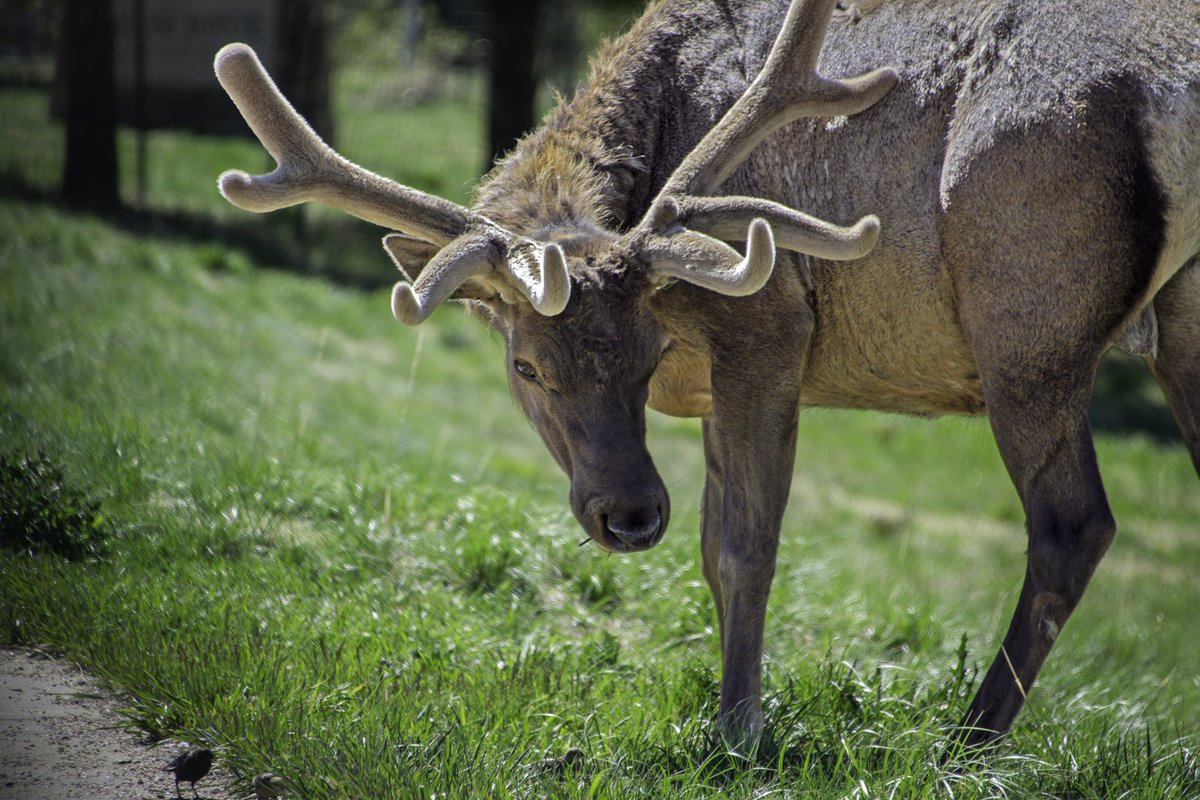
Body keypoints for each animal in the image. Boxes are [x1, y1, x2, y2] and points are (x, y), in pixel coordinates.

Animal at [212, 0, 1200, 753]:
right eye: (526, 366)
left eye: (650, 353)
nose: (628, 513)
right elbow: (708, 553)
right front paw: (731, 710)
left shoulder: (766, 329)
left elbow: (743, 548)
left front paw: (739, 732)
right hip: (1178, 318)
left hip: (1027, 312)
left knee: (1072, 524)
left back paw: (967, 741)